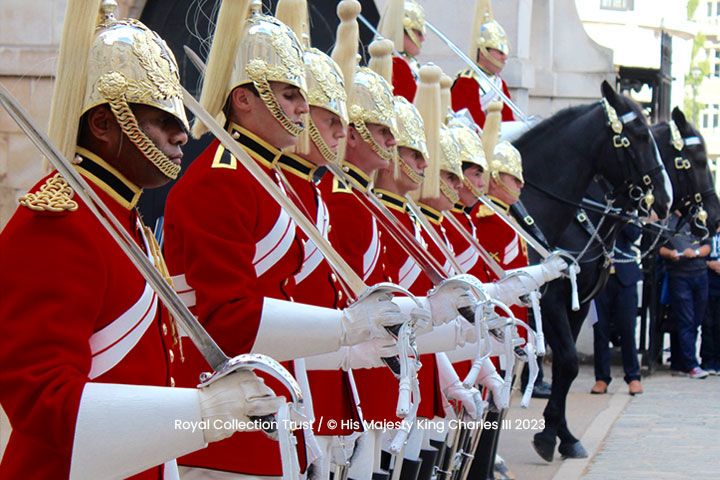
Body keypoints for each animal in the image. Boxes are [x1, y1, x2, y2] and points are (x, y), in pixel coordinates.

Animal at [512, 81, 676, 462]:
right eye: (639, 134)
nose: (666, 200)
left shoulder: (580, 303)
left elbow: (566, 368)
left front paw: (561, 435)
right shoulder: (549, 302)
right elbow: (568, 362)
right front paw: (549, 436)